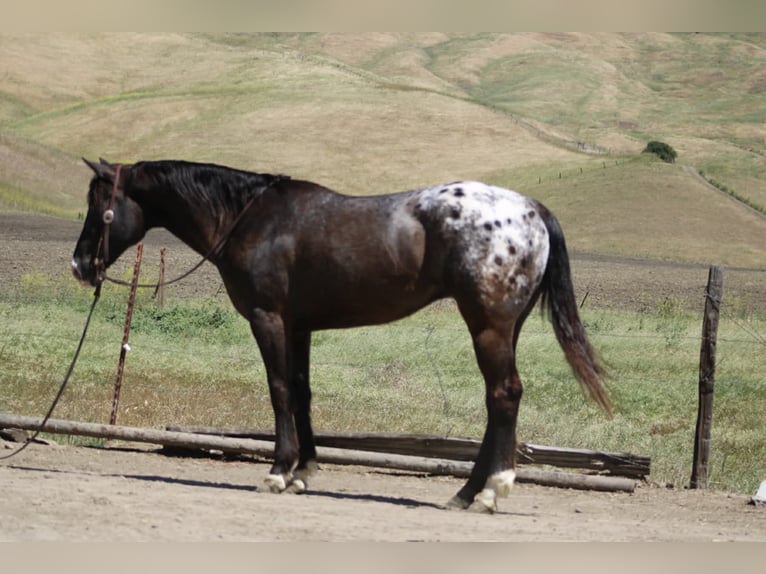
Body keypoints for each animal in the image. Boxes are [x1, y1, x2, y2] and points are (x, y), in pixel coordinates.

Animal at [71, 158, 611, 513]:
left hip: (488, 326)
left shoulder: (268, 318)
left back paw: (489, 492)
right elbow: (303, 393)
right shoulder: (300, 326)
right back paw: (464, 493)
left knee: (503, 395)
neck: (251, 219)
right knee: (498, 401)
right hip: (504, 327)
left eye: (100, 205)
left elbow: (279, 390)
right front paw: (303, 473)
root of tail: (533, 209)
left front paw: (277, 472)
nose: (80, 265)